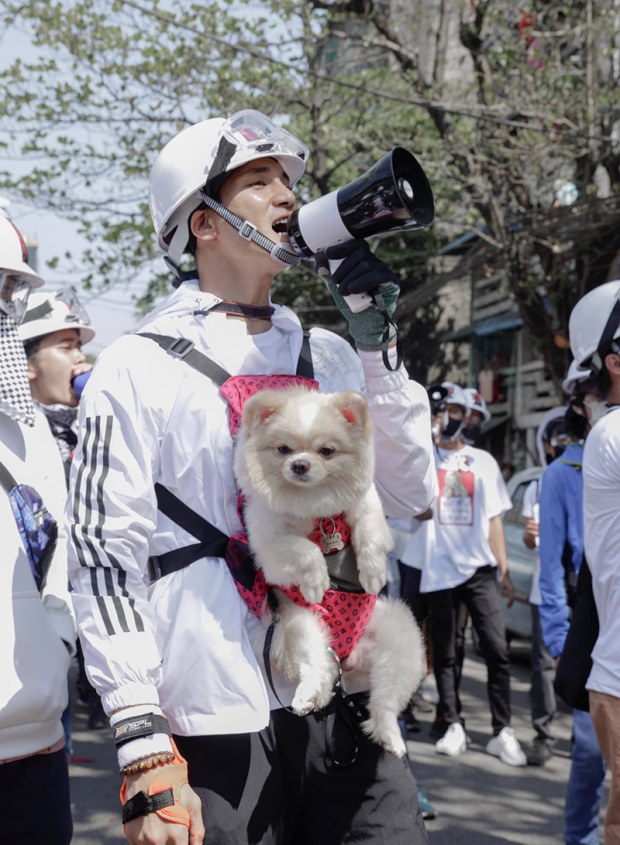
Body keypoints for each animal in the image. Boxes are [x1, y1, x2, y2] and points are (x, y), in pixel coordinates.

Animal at [235, 386, 424, 756]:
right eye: (283, 449)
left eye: (327, 451)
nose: (300, 464)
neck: (314, 506)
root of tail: (349, 657)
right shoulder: (269, 543)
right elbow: (305, 550)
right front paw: (318, 581)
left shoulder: (368, 507)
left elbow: (368, 534)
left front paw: (373, 575)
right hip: (302, 625)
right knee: (316, 668)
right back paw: (310, 695)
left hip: (400, 639)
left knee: (384, 702)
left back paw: (391, 737)